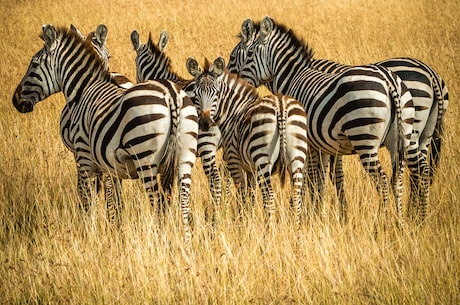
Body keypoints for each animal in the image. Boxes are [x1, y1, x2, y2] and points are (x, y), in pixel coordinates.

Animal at [13, 24, 198, 242]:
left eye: (33, 64)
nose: (15, 101)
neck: (84, 89)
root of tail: (171, 95)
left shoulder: (83, 156)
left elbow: (87, 198)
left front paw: (87, 233)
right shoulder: (108, 165)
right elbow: (112, 199)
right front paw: (114, 229)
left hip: (146, 159)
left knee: (157, 202)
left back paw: (158, 240)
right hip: (185, 158)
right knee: (182, 201)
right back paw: (185, 241)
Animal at [185, 55, 308, 224]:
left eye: (216, 93)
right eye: (196, 94)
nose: (204, 123)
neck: (234, 111)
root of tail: (280, 105)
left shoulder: (234, 160)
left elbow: (242, 194)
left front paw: (242, 222)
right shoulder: (251, 169)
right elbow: (251, 195)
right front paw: (248, 219)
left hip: (261, 156)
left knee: (269, 197)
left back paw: (269, 229)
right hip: (297, 156)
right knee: (296, 197)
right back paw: (296, 229)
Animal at [228, 17, 448, 221]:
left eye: (238, 56)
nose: (232, 82)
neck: (294, 76)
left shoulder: (310, 141)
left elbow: (313, 177)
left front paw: (310, 214)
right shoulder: (328, 144)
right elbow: (329, 177)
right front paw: (328, 213)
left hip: (367, 137)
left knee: (389, 179)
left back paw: (387, 222)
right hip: (413, 136)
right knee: (412, 175)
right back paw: (409, 220)